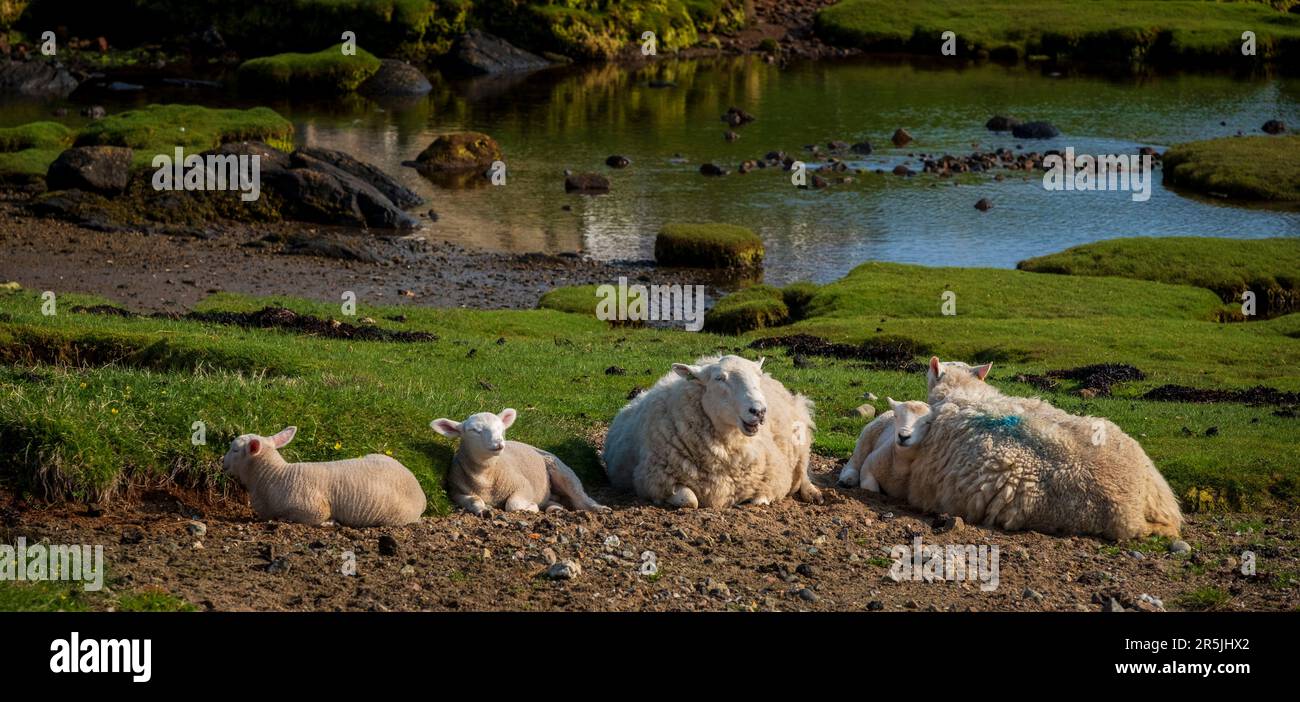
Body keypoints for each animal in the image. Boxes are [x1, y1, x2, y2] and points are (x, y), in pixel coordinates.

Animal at [220, 428, 426, 525]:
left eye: (235, 449)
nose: (222, 462)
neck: (274, 476)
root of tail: (421, 493)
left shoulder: (314, 509)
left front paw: (330, 522)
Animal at [428, 405, 605, 514]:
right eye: (474, 430)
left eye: (501, 428)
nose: (499, 443)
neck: (486, 478)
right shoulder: (456, 492)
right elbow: (474, 501)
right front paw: (484, 510)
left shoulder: (524, 485)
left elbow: (512, 504)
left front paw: (531, 507)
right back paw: (555, 508)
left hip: (563, 472)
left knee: (580, 497)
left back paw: (599, 508)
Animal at [600, 353, 821, 506]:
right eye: (719, 378)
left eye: (756, 377)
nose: (758, 411)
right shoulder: (653, 481)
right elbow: (690, 500)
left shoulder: (775, 478)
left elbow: (761, 499)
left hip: (801, 441)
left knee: (803, 472)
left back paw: (813, 493)